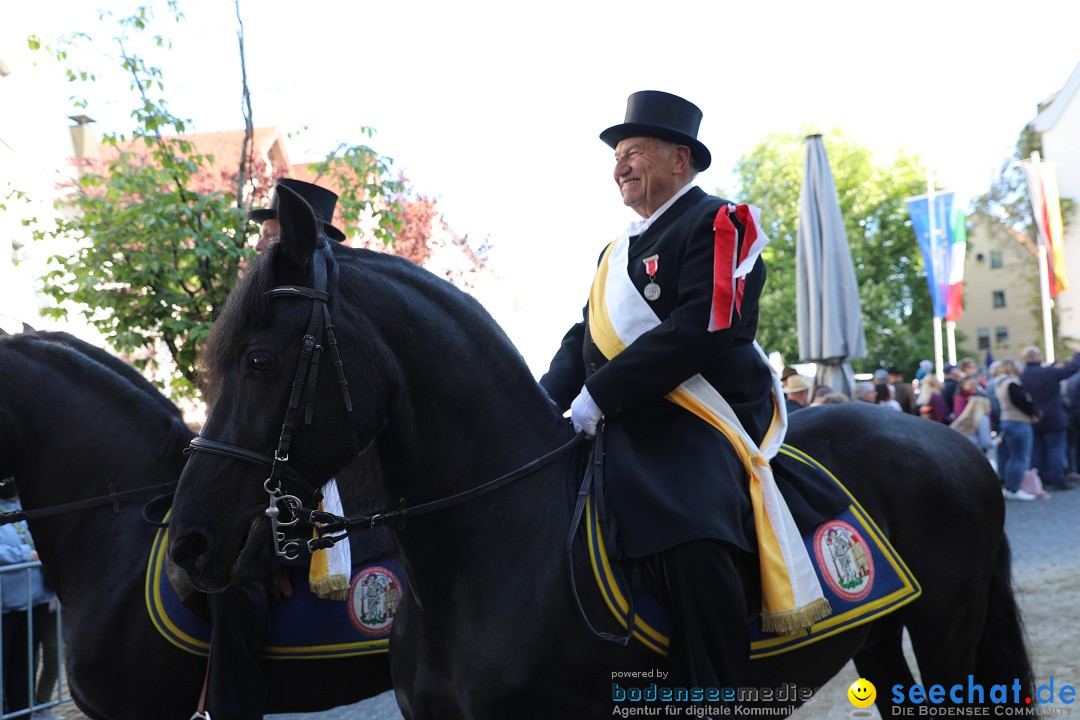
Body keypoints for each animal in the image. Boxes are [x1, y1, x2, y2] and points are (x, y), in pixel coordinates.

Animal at [166, 188, 1028, 716]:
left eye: (259, 360)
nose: (189, 543)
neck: (489, 556)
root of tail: (953, 446)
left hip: (947, 632)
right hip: (880, 637)